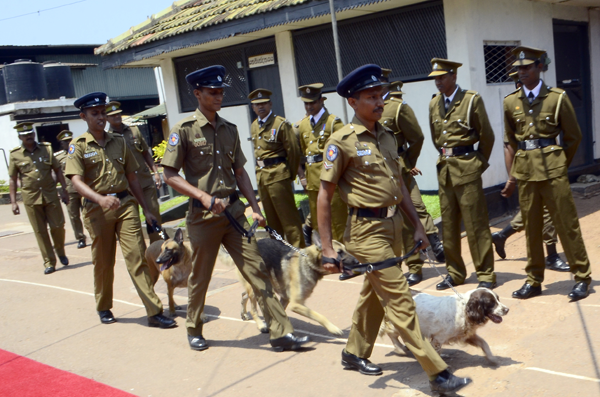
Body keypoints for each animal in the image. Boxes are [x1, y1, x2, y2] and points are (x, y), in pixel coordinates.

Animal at [220, 230, 360, 336]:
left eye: (345, 249)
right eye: (339, 252)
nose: (358, 262)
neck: (308, 261)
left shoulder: (285, 299)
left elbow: (281, 314)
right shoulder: (296, 304)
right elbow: (319, 316)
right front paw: (333, 328)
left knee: (243, 295)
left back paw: (244, 314)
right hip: (256, 289)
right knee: (253, 309)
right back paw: (260, 325)